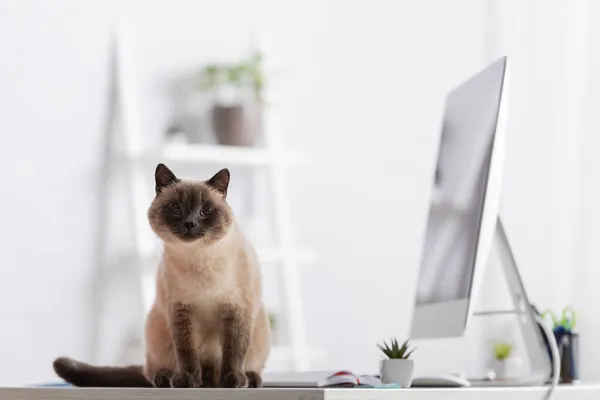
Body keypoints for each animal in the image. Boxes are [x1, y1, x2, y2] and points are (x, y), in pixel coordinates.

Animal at [53, 162, 270, 388]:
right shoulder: (181, 310)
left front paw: (233, 380)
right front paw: (188, 381)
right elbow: (186, 351)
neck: (198, 258)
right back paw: (171, 379)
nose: (190, 223)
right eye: (175, 209)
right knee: (153, 371)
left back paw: (246, 379)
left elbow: (234, 351)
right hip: (157, 327)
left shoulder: (237, 309)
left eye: (205, 210)